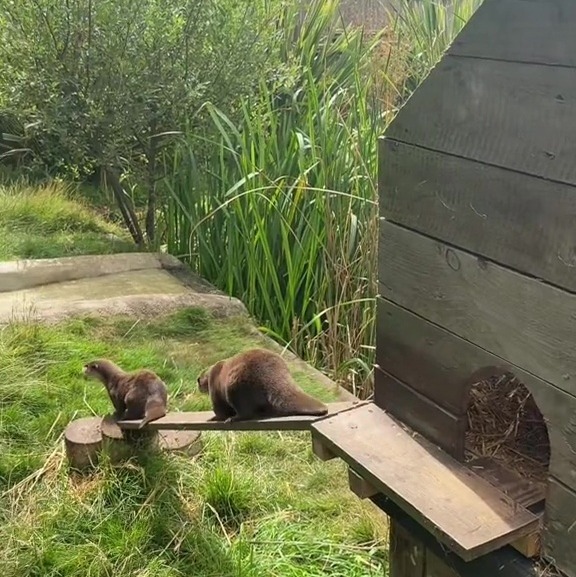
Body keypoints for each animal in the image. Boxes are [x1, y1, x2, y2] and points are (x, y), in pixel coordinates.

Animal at [197, 346, 328, 424]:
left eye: (199, 381)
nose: (197, 384)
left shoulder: (214, 387)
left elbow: (219, 409)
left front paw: (213, 418)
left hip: (235, 386)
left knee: (246, 412)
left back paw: (232, 419)